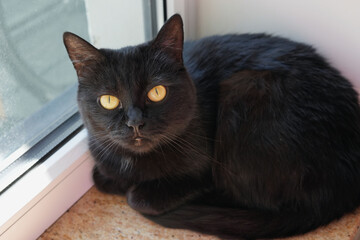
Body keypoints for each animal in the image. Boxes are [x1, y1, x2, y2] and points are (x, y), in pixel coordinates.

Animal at [63, 14, 360, 239]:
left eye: (157, 92)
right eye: (109, 100)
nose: (135, 122)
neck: (136, 164)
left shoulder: (204, 171)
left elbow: (138, 197)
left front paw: (136, 190)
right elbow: (100, 175)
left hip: (245, 89)